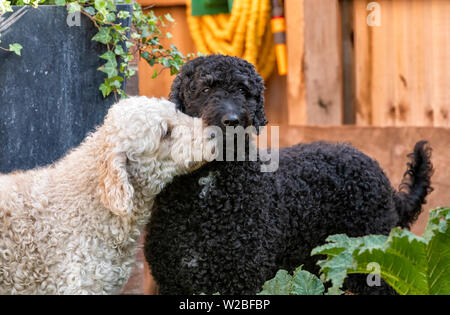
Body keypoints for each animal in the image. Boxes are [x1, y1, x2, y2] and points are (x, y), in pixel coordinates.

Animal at [144, 55, 432, 296]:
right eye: (206, 89)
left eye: (243, 91)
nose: (233, 120)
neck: (211, 185)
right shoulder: (172, 282)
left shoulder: (243, 278)